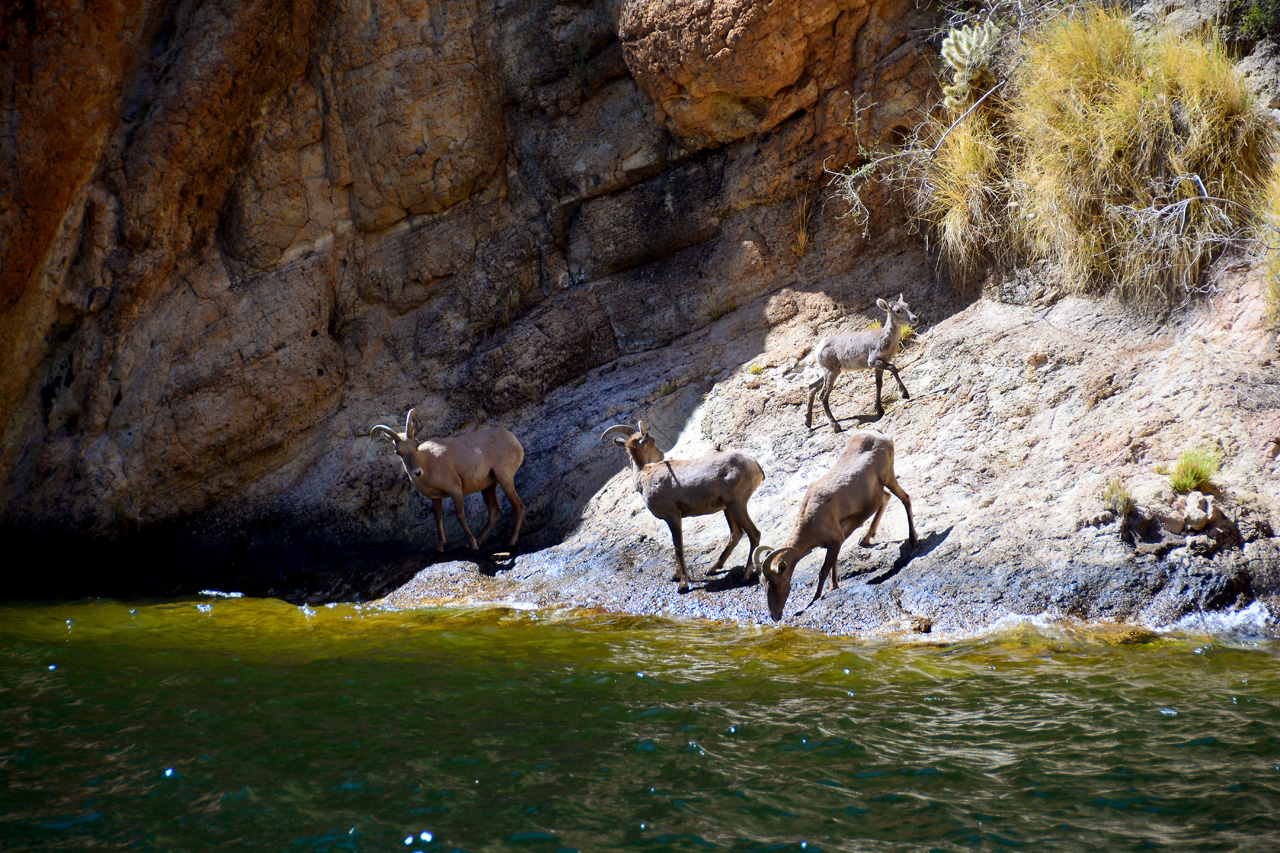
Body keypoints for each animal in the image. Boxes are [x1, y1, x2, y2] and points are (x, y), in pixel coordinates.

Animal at [371, 407, 524, 550]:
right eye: (398, 452)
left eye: (417, 444)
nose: (417, 472)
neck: (428, 462)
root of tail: (512, 439)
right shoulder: (435, 497)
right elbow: (438, 518)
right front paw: (441, 547)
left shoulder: (455, 490)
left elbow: (460, 516)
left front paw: (472, 545)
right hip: (488, 486)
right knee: (494, 512)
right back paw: (480, 540)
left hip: (504, 477)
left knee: (518, 507)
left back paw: (511, 541)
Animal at [599, 417, 757, 591]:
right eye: (652, 442)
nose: (661, 454)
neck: (645, 475)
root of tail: (754, 464)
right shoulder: (672, 519)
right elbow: (675, 546)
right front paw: (675, 577)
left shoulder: (673, 516)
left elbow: (679, 547)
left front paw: (683, 585)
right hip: (728, 508)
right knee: (736, 534)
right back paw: (711, 569)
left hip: (737, 504)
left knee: (754, 534)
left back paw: (745, 576)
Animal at [752, 432, 916, 617]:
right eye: (762, 585)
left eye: (774, 584)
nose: (774, 616)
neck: (811, 520)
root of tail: (883, 436)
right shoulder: (835, 542)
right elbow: (833, 564)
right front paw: (833, 587)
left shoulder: (834, 540)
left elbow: (823, 570)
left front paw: (814, 599)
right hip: (879, 488)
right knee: (886, 498)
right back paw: (865, 539)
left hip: (888, 476)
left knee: (905, 498)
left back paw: (913, 539)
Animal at [803, 294, 916, 432]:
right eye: (898, 310)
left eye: (908, 306)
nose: (914, 318)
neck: (884, 339)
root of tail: (818, 348)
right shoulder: (873, 361)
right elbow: (894, 368)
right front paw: (904, 394)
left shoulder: (879, 365)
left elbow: (879, 384)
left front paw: (880, 410)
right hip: (831, 371)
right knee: (823, 396)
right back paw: (836, 426)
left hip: (831, 370)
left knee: (812, 387)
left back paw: (808, 422)